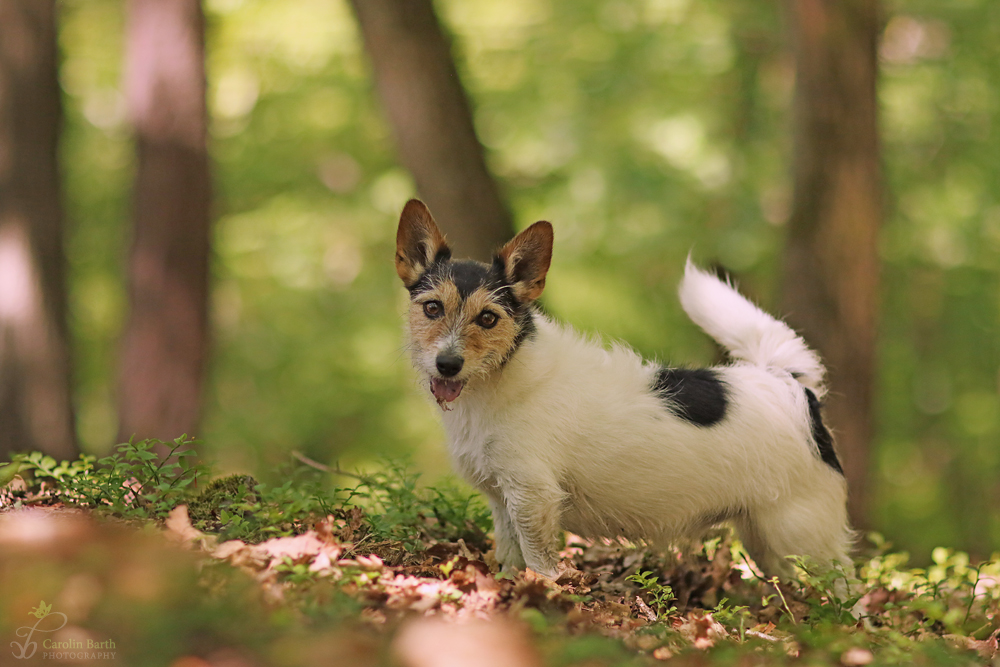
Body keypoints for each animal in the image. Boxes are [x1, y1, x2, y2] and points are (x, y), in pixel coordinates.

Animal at [394, 197, 848, 580]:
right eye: (432, 308)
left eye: (488, 318)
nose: (447, 364)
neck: (502, 377)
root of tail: (786, 381)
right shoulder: (505, 502)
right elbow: (510, 557)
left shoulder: (533, 499)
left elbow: (541, 564)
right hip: (766, 541)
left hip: (801, 535)